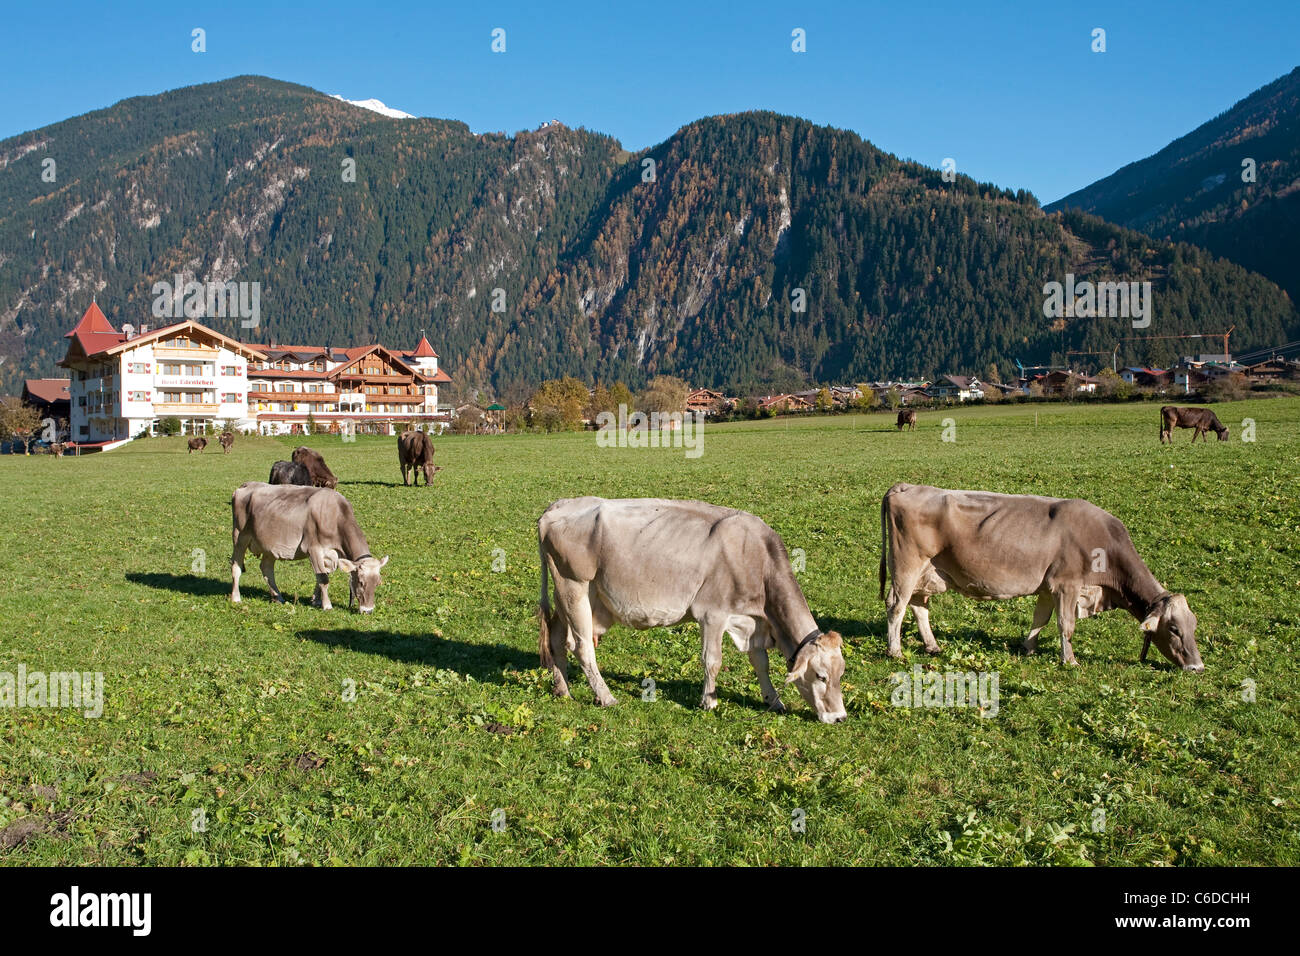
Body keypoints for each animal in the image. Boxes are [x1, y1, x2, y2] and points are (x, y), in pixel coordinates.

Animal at [232, 486, 384, 613]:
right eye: (361, 582)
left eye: (378, 583)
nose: (368, 610)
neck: (335, 515)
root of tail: (246, 485)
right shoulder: (313, 549)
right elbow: (323, 578)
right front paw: (327, 605)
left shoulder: (331, 555)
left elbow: (321, 576)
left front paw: (316, 601)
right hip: (240, 536)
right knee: (236, 565)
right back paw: (236, 597)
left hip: (270, 545)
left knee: (266, 568)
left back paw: (278, 597)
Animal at [538, 496, 852, 723]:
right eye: (821, 676)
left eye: (841, 674)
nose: (839, 717)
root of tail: (557, 507)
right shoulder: (712, 614)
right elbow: (712, 660)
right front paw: (709, 701)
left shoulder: (752, 621)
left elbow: (760, 662)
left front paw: (773, 700)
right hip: (573, 585)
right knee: (581, 646)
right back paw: (605, 696)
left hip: (578, 596)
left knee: (557, 637)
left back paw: (562, 690)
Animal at [878, 481, 1201, 671]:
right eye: (1173, 629)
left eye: (1194, 626)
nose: (1197, 666)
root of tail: (906, 486)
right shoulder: (1067, 585)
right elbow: (1066, 625)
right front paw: (1069, 660)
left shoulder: (1048, 587)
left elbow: (1040, 619)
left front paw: (1029, 648)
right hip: (907, 566)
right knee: (897, 606)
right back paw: (895, 651)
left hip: (928, 572)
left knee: (919, 606)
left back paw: (932, 645)